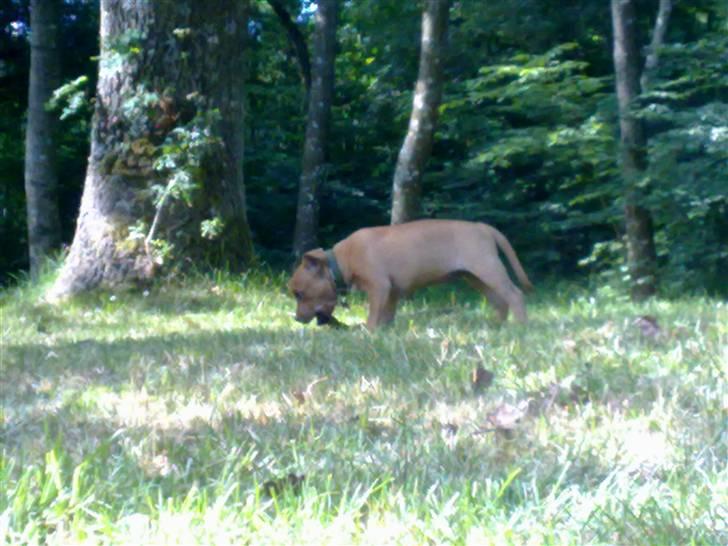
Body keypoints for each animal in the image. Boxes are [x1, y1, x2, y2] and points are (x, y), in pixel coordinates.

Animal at [288, 219, 532, 330]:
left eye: (299, 294)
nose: (297, 319)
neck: (341, 261)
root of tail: (483, 227)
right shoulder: (391, 293)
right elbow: (386, 315)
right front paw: (385, 331)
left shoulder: (379, 287)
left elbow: (373, 315)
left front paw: (368, 331)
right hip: (476, 278)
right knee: (500, 301)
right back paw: (497, 326)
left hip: (489, 270)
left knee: (515, 295)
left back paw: (520, 326)